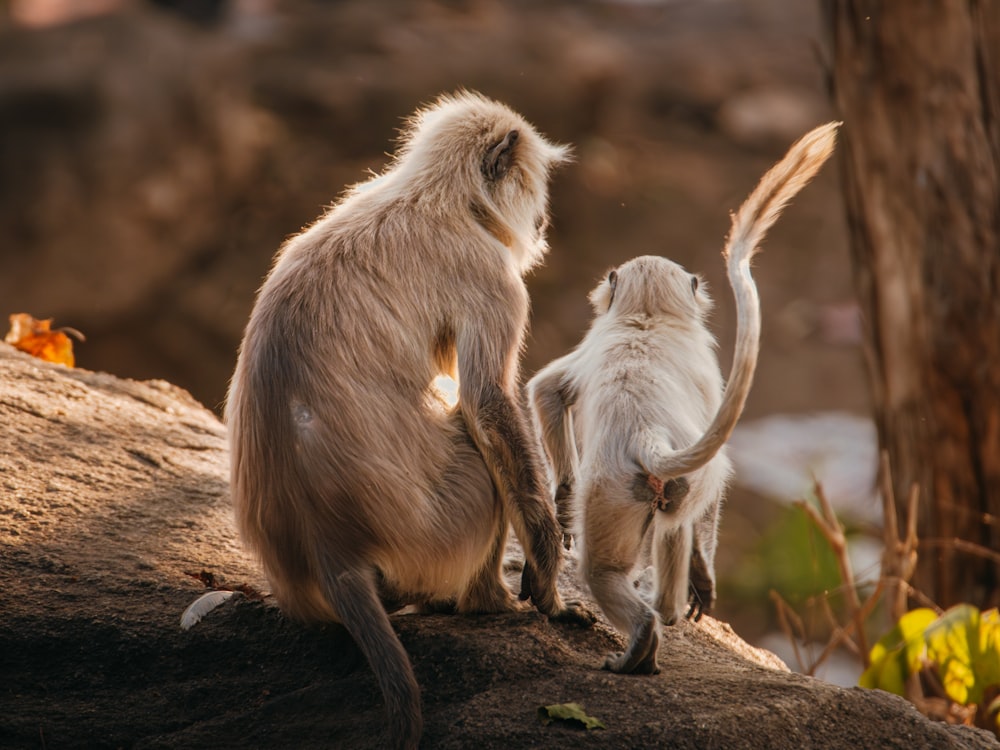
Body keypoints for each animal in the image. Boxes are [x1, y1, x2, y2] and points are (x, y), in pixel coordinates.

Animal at [225, 91, 592, 748]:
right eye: (535, 189)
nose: (542, 224)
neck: (433, 196)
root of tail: (332, 551)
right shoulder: (491, 276)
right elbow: (487, 403)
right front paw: (550, 591)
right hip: (438, 524)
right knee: (478, 451)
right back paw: (484, 603)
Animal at [528, 122, 840, 676]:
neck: (649, 317)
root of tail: (646, 433)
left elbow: (546, 391)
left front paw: (562, 504)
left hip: (611, 488)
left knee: (604, 569)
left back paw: (645, 630)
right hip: (668, 483)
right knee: (676, 523)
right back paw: (663, 616)